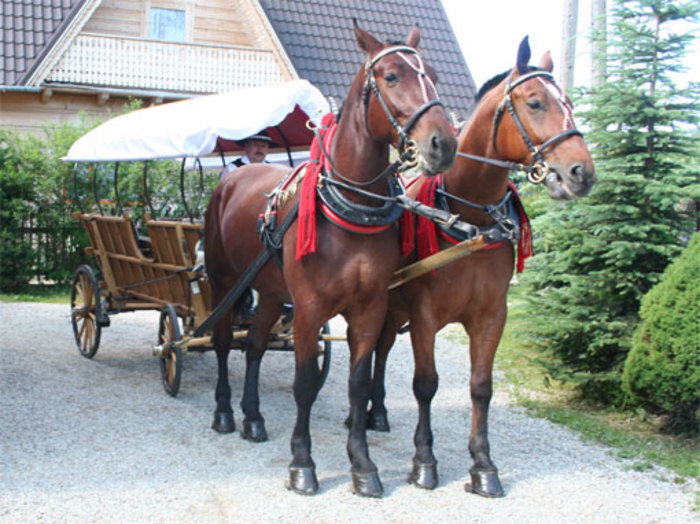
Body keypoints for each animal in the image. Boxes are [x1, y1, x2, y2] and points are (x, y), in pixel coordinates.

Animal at [202, 19, 456, 496]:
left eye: (431, 73)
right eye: (391, 76)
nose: (443, 144)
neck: (350, 209)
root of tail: (233, 177)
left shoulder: (370, 307)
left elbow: (358, 384)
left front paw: (362, 464)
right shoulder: (309, 308)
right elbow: (304, 383)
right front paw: (303, 464)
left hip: (269, 292)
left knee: (255, 347)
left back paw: (252, 417)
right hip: (224, 282)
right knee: (225, 343)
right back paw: (224, 412)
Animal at [366, 35, 596, 496]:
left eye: (569, 102)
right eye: (535, 102)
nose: (582, 172)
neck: (469, 216)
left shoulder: (492, 315)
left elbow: (480, 388)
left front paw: (483, 465)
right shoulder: (424, 315)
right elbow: (425, 384)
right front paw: (424, 460)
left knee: (380, 351)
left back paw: (377, 410)